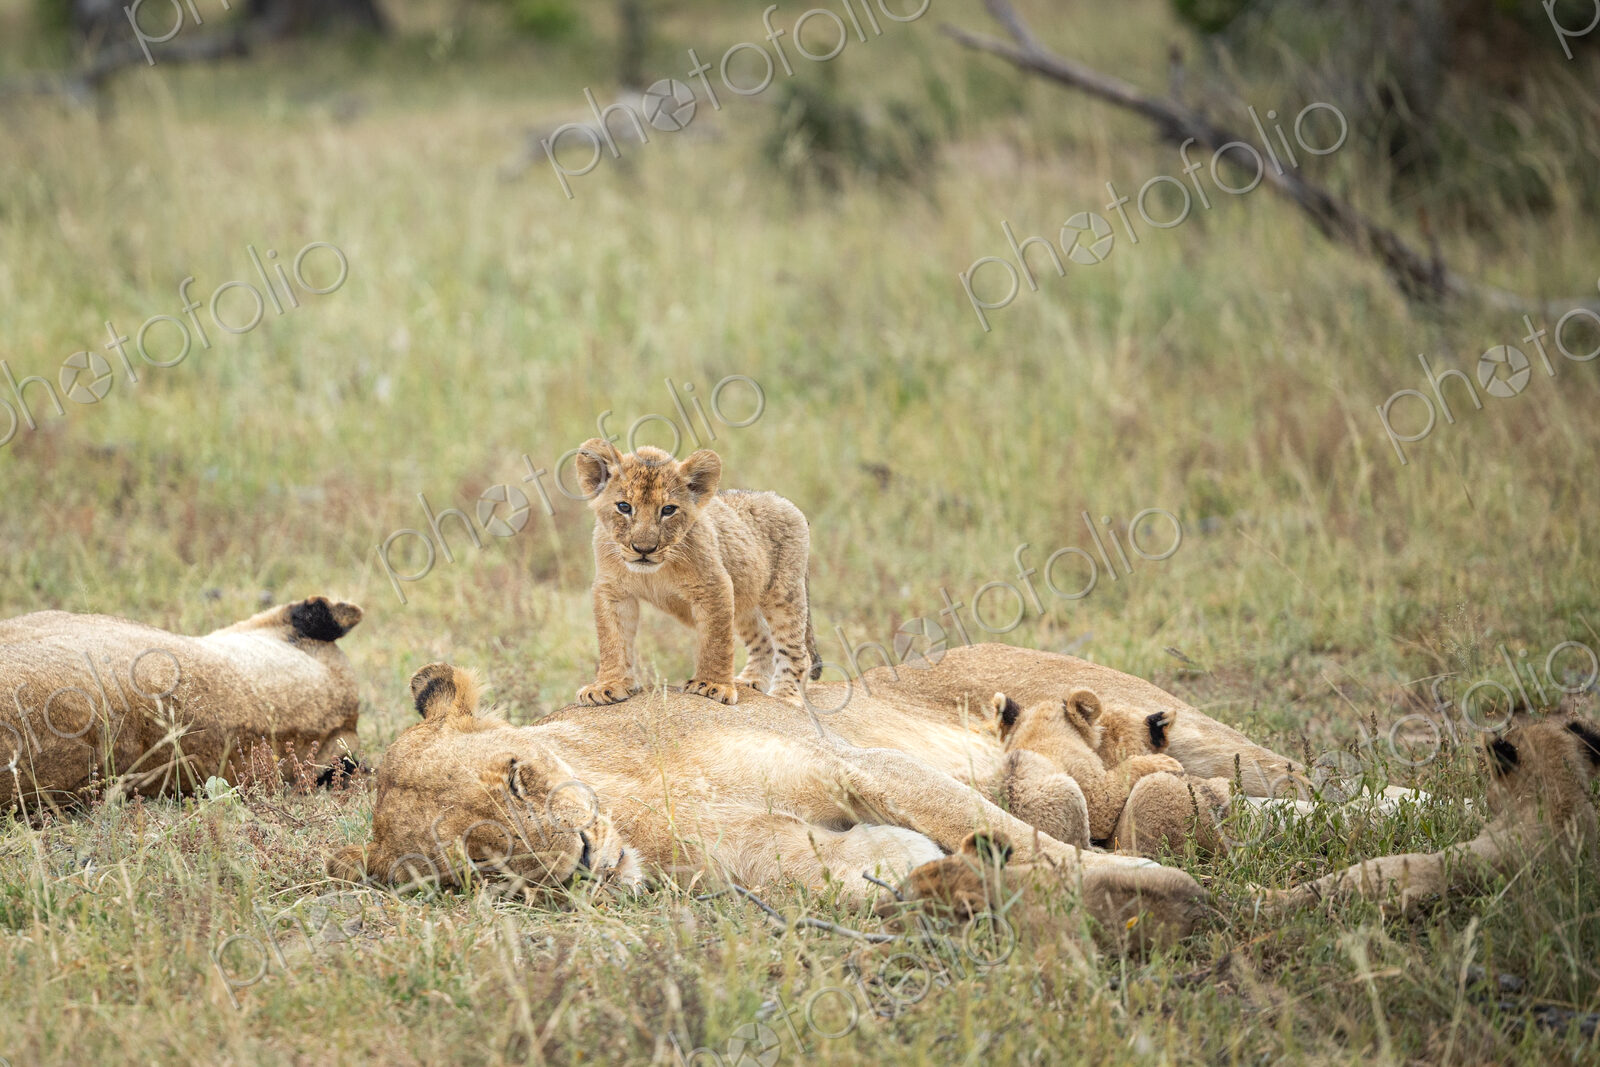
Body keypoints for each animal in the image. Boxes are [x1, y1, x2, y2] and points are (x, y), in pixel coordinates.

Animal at [324, 663, 1206, 934]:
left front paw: (1173, 888)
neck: (632, 808)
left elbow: (1022, 839)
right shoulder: (821, 859)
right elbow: (918, 866)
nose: (578, 861)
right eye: (479, 866)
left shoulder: (860, 766)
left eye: (516, 774)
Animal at [572, 441, 820, 707]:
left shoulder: (714, 586)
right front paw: (607, 686)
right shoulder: (612, 590)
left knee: (795, 649)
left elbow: (716, 641)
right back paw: (750, 681)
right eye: (624, 507)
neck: (654, 571)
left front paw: (712, 685)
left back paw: (786, 695)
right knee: (764, 639)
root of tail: (783, 500)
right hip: (745, 599)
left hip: (784, 593)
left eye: (668, 510)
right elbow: (612, 640)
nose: (644, 549)